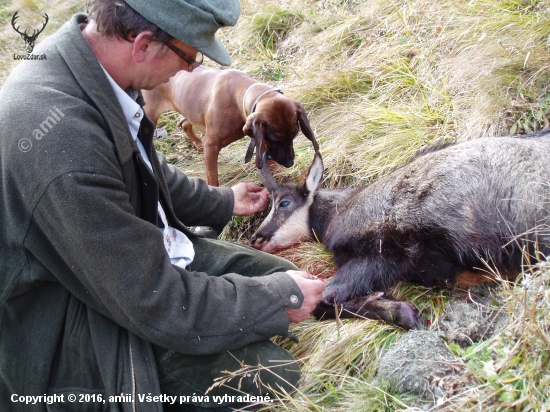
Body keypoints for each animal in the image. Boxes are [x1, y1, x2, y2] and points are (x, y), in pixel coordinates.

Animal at [142, 67, 320, 186]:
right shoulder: (212, 145)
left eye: (294, 135)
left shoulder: (259, 138)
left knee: (184, 123)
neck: (239, 97)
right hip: (149, 114)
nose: (290, 163)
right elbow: (212, 178)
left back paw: (197, 143)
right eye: (275, 139)